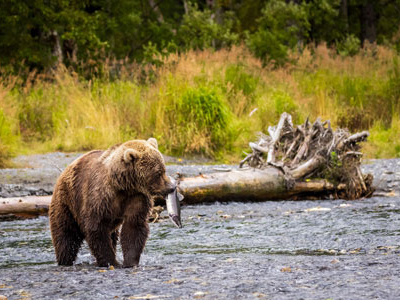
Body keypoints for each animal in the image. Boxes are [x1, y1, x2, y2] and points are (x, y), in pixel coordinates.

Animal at [47, 138, 174, 268]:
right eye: (158, 173)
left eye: (163, 169)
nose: (172, 187)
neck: (122, 186)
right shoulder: (99, 198)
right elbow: (96, 228)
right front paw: (111, 262)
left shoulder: (137, 197)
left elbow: (134, 226)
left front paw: (130, 262)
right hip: (66, 203)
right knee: (66, 236)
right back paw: (65, 260)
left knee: (112, 237)